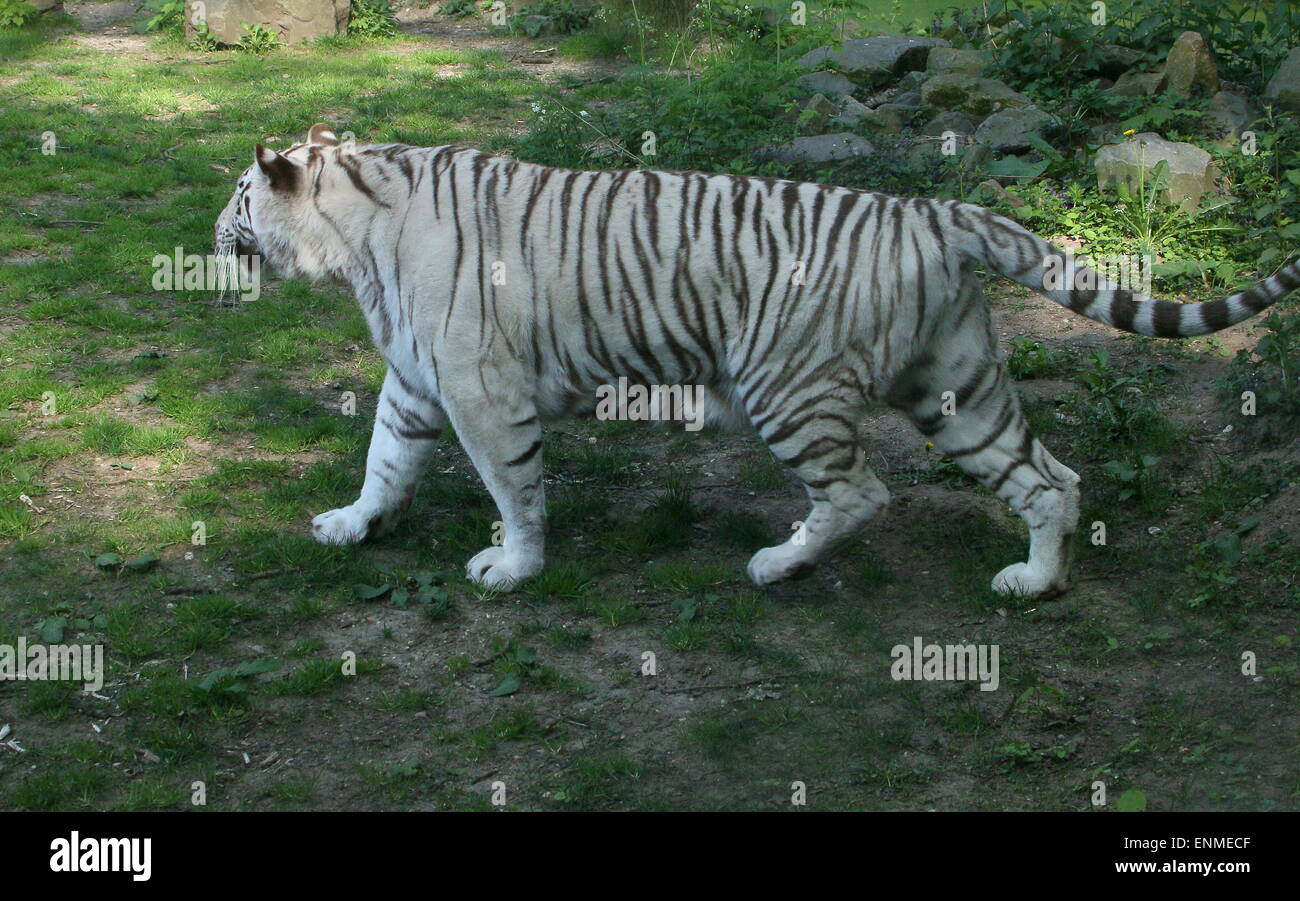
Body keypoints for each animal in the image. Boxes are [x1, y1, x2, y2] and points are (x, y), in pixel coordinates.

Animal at [218, 121, 1294, 598]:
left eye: (237, 195)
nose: (214, 233)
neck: (354, 234)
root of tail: (935, 210)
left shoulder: (484, 391)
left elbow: (513, 490)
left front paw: (511, 568)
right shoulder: (415, 379)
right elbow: (383, 457)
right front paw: (350, 525)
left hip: (789, 385)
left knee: (858, 493)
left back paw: (777, 562)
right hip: (957, 388)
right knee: (1049, 478)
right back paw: (1034, 581)